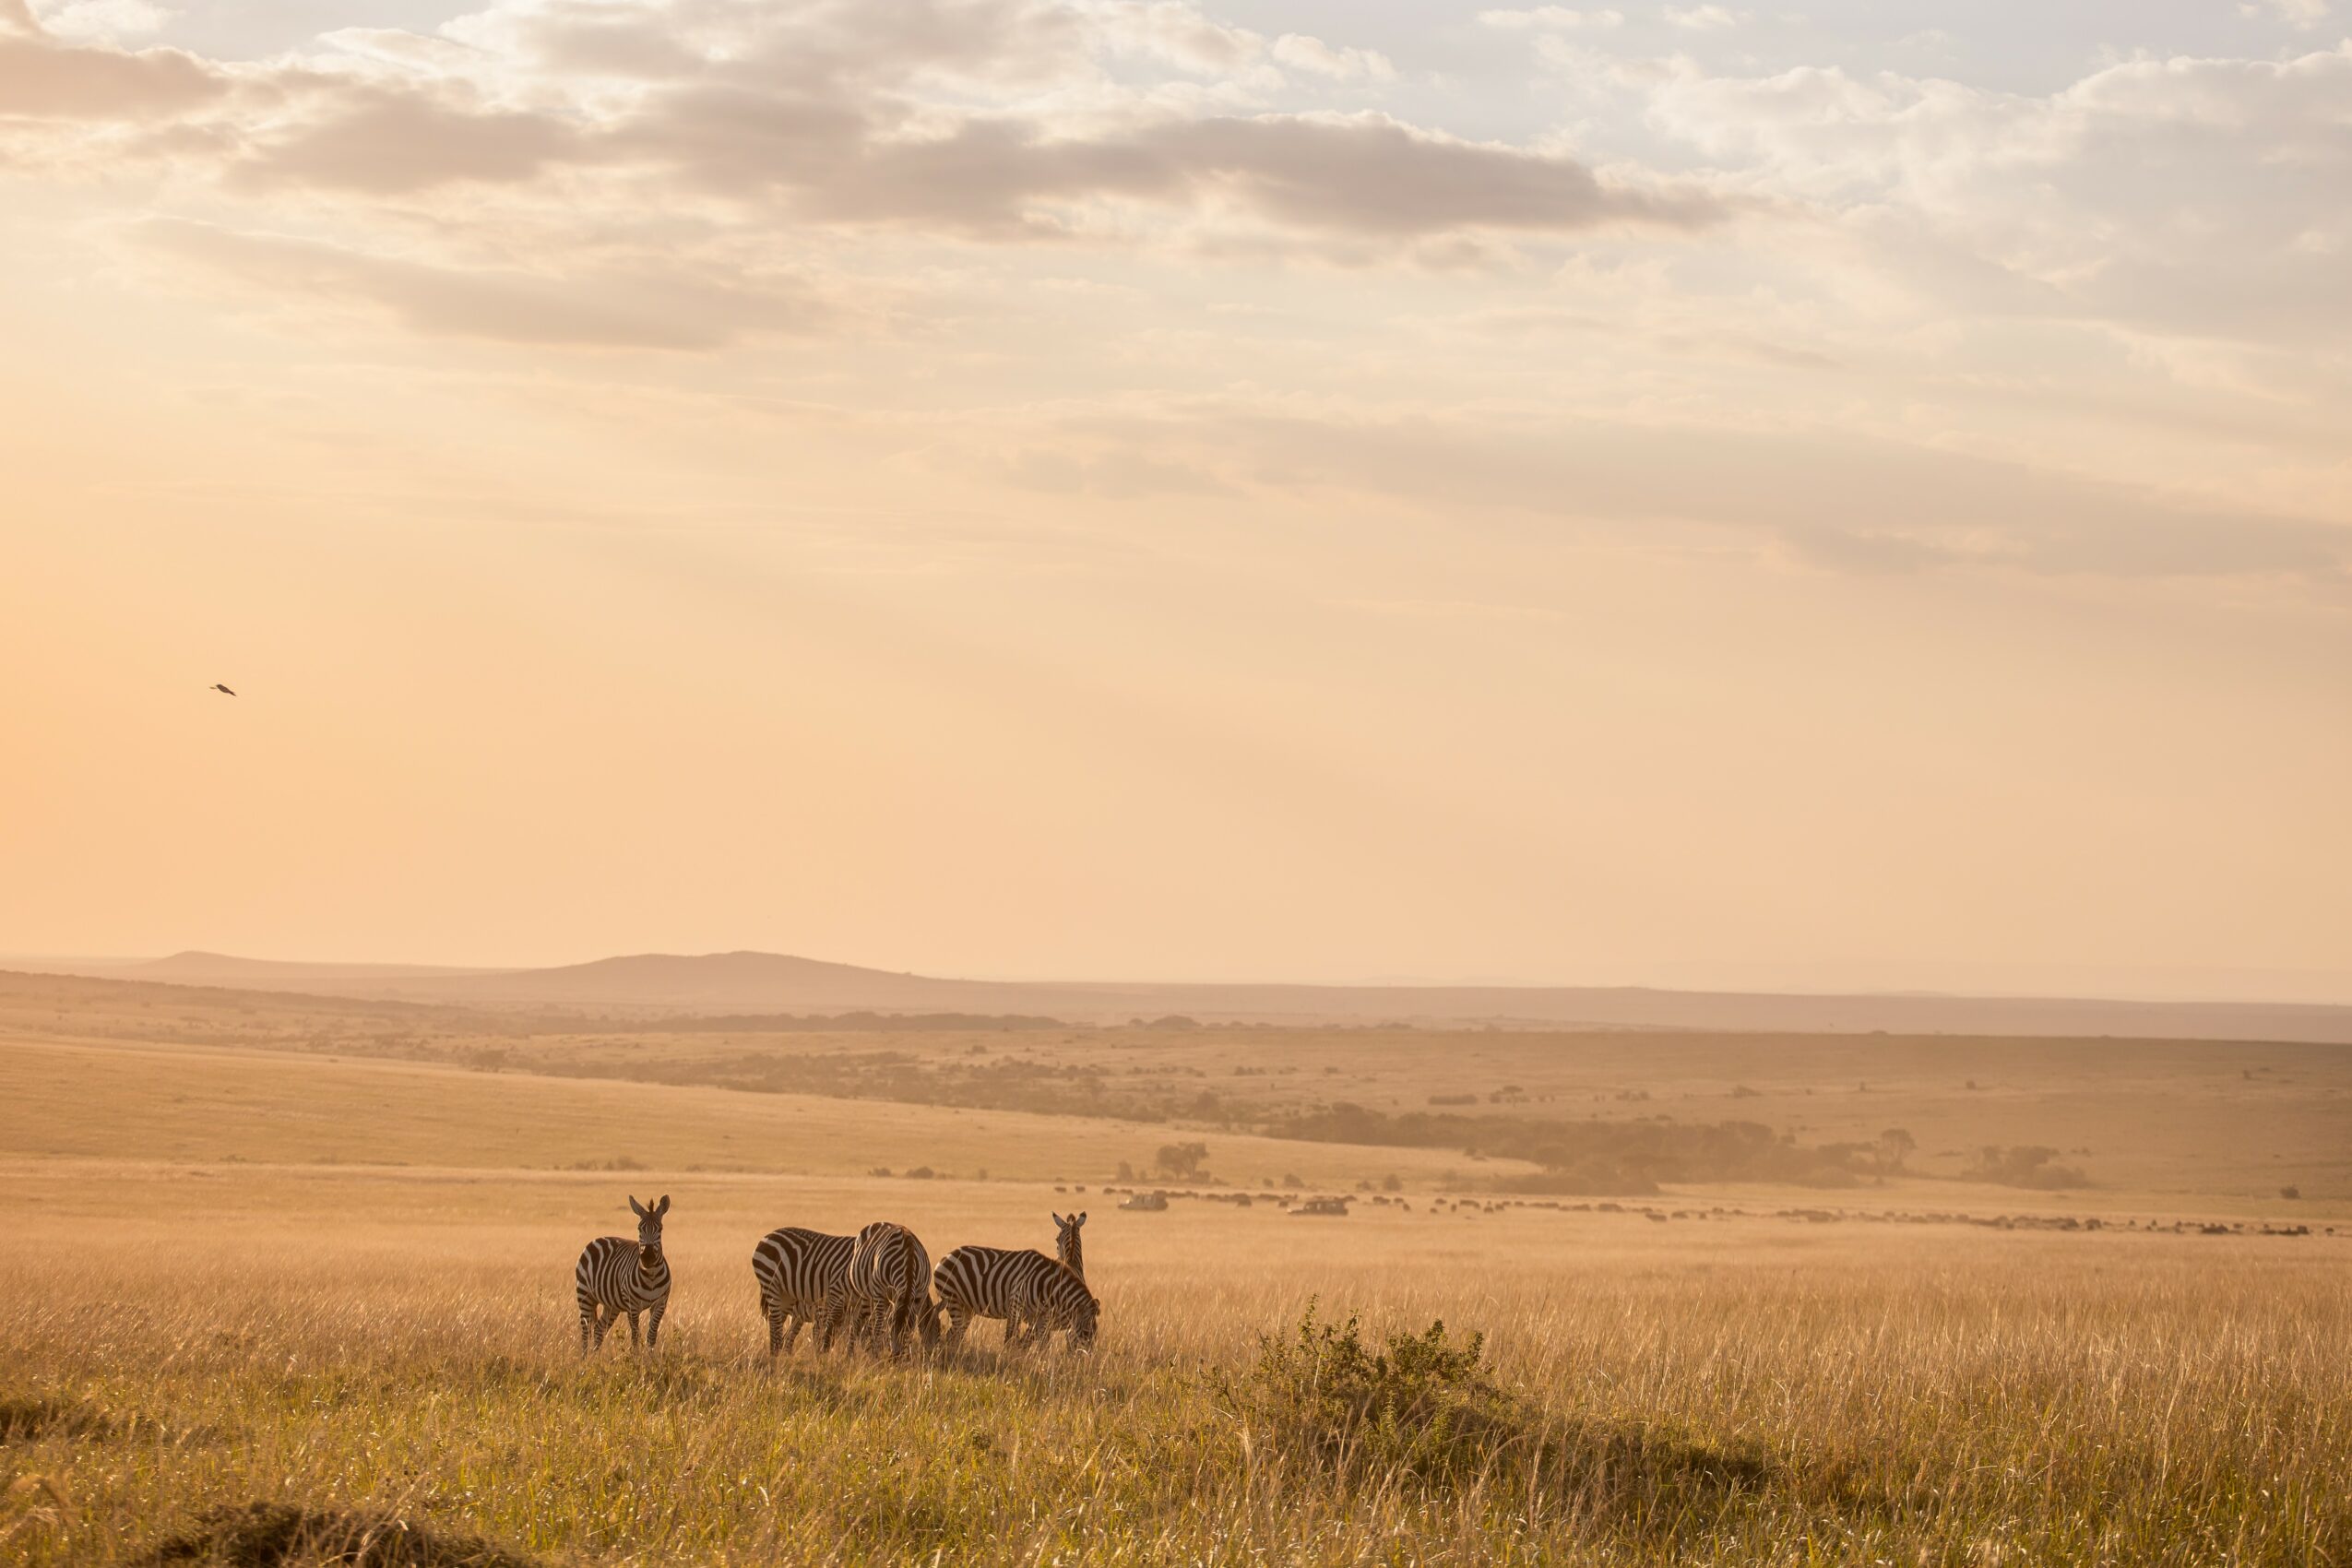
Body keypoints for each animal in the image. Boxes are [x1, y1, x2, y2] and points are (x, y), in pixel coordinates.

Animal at [575, 1194, 671, 1353]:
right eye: (639, 1228)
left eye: (661, 1229)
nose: (648, 1258)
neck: (651, 1276)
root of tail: (597, 1239)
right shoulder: (632, 1306)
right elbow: (635, 1336)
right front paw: (636, 1358)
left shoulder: (660, 1304)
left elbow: (652, 1336)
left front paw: (651, 1358)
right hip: (584, 1295)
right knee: (585, 1331)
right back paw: (584, 1358)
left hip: (612, 1304)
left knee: (599, 1328)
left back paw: (595, 1357)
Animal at [750, 1226, 855, 1358]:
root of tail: (767, 1236)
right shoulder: (823, 1310)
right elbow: (822, 1336)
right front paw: (821, 1357)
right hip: (771, 1284)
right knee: (778, 1327)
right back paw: (776, 1356)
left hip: (791, 1307)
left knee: (785, 1334)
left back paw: (783, 1357)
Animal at [827, 1221, 940, 1355]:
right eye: (892, 1327)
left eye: (937, 1331)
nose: (896, 1356)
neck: (909, 1258)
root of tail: (880, 1222)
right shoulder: (879, 1293)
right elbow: (879, 1328)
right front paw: (875, 1355)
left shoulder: (919, 1295)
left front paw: (908, 1356)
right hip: (865, 1294)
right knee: (861, 1323)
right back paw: (854, 1353)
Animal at [932, 1245, 1099, 1352]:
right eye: (1086, 1332)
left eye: (1095, 1335)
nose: (1087, 1361)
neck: (1047, 1287)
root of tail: (946, 1256)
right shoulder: (1016, 1302)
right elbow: (1012, 1336)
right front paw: (1009, 1358)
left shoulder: (1042, 1315)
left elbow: (1041, 1342)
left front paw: (1041, 1362)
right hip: (953, 1300)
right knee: (955, 1333)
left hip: (967, 1308)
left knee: (954, 1334)